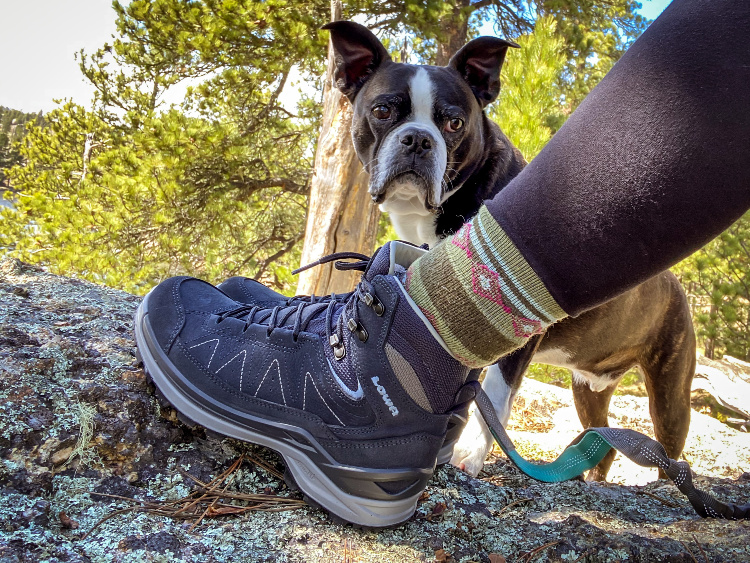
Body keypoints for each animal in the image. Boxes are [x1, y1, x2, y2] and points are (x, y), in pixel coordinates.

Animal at [326, 20, 696, 480]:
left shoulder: (515, 325)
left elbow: (494, 394)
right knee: (604, 441)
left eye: (454, 122)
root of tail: (677, 288)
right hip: (588, 390)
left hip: (670, 391)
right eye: (381, 112)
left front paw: (469, 452)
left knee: (671, 451)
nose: (417, 139)